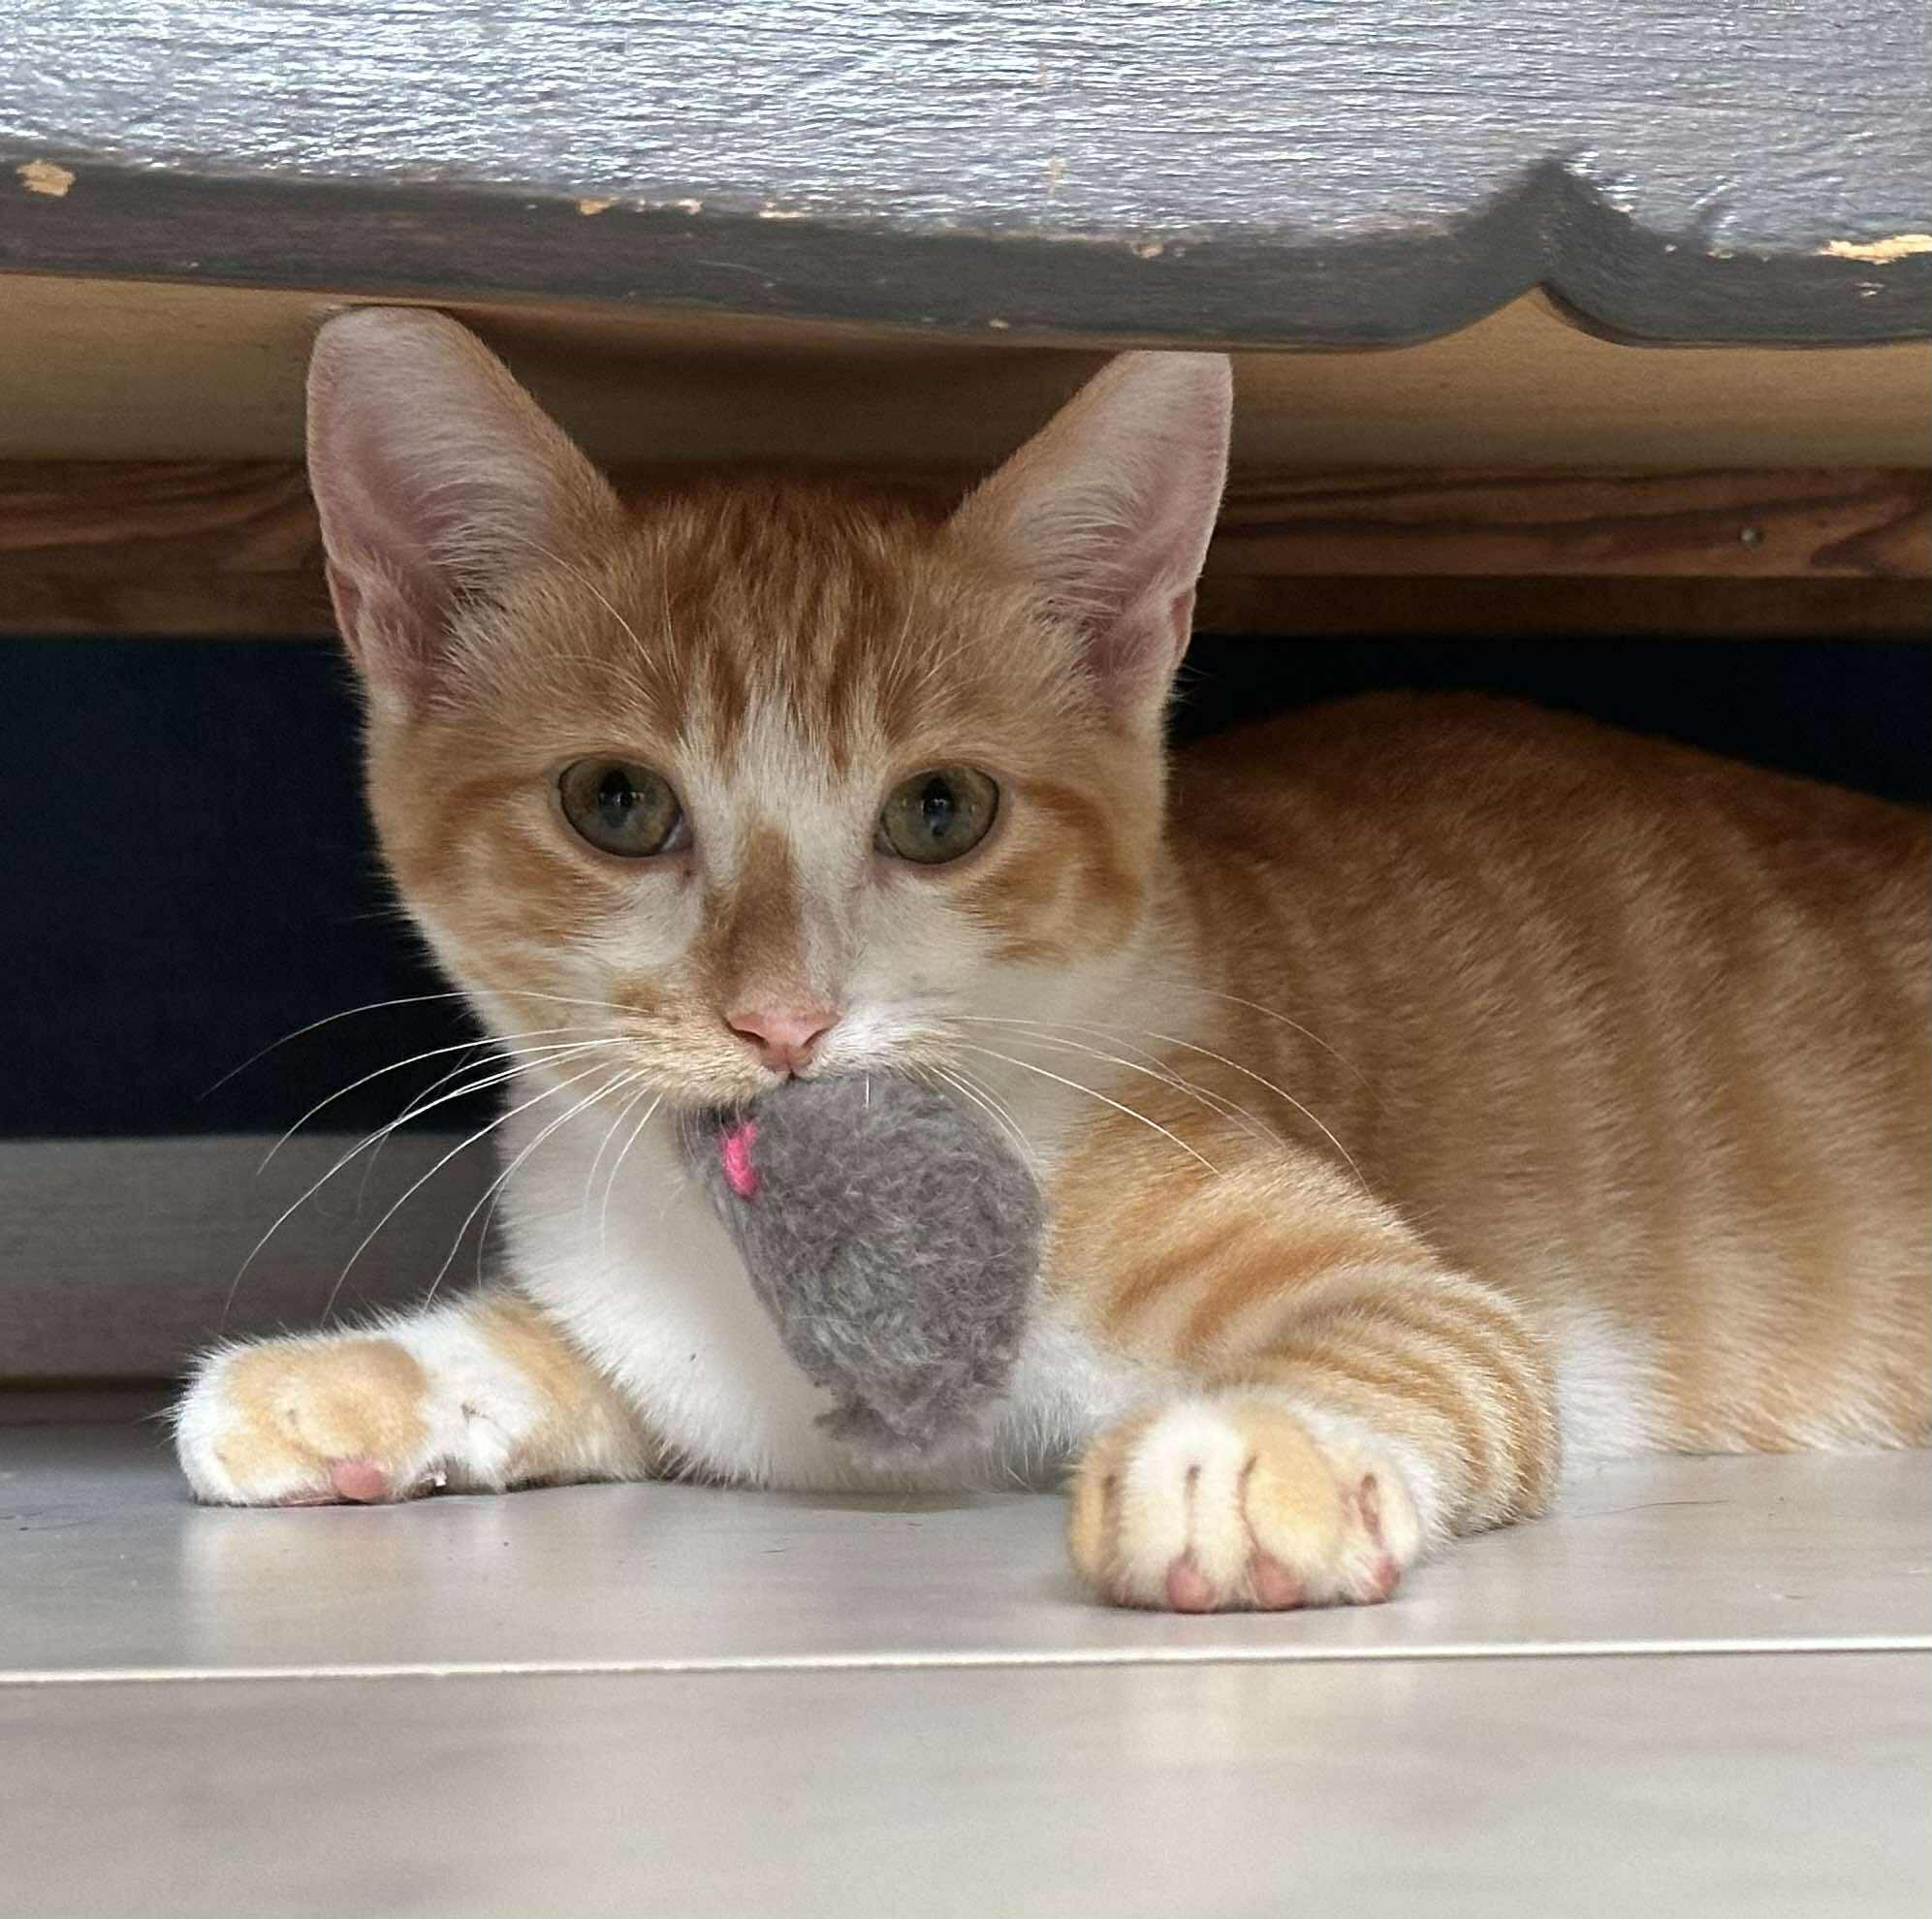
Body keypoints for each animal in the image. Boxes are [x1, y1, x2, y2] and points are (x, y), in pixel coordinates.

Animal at [173, 309, 1930, 1612]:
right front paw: (350, 1383)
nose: (784, 1021)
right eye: (615, 803)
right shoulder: (687, 1358)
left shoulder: (1407, 1277)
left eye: (941, 811)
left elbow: (1420, 1337)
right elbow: (593, 1358)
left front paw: (1257, 1453)